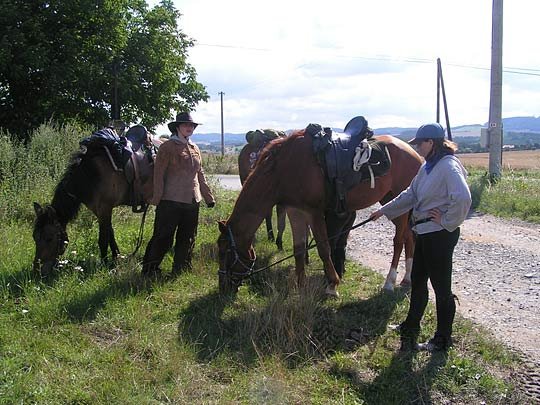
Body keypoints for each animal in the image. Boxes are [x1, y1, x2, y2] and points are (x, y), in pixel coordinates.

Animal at [33, 129, 154, 274]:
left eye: (49, 238)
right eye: (34, 237)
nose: (37, 270)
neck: (90, 174)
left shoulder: (105, 208)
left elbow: (103, 240)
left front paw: (105, 265)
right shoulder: (99, 210)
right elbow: (110, 234)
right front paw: (116, 259)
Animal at [217, 131, 424, 296]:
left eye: (226, 251)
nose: (223, 287)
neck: (283, 168)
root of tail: (416, 155)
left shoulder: (313, 212)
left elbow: (324, 248)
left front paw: (332, 285)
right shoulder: (295, 211)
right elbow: (299, 249)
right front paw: (300, 285)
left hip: (400, 202)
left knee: (399, 241)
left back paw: (389, 282)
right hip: (393, 202)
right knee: (409, 238)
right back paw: (406, 279)